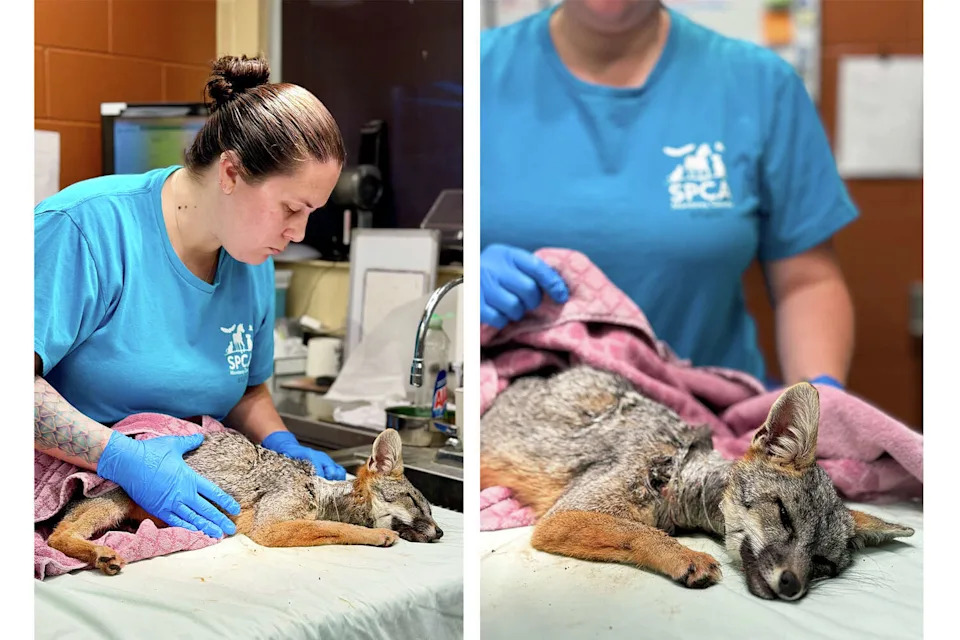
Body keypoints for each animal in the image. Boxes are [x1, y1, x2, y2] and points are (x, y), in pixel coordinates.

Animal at [47, 428, 443, 575]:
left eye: (430, 510)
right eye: (415, 501)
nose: (440, 533)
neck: (319, 491)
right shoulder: (270, 528)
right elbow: (337, 528)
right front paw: (378, 536)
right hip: (112, 503)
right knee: (55, 537)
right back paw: (100, 554)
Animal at [480, 365, 914, 601]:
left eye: (823, 563)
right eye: (784, 517)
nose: (792, 585)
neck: (675, 469)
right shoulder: (562, 517)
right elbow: (638, 531)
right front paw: (683, 556)